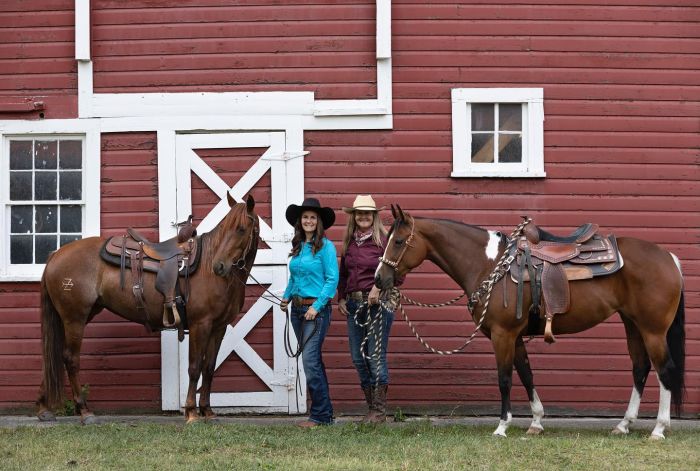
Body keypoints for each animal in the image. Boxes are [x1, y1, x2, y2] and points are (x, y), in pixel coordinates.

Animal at [36, 194, 260, 426]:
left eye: (241, 229)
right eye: (225, 227)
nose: (219, 266)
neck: (207, 268)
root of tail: (55, 255)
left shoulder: (218, 328)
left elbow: (209, 367)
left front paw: (207, 410)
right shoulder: (201, 325)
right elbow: (195, 367)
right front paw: (191, 412)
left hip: (74, 317)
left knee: (53, 356)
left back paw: (44, 408)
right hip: (75, 318)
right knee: (70, 359)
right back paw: (84, 411)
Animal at [374, 208, 688, 440]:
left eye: (398, 242)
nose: (379, 279)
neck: (490, 266)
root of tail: (669, 258)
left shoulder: (502, 335)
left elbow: (504, 379)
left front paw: (502, 426)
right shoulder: (514, 337)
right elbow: (526, 374)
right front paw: (536, 422)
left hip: (653, 330)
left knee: (664, 370)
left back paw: (659, 429)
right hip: (632, 324)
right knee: (640, 369)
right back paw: (623, 425)